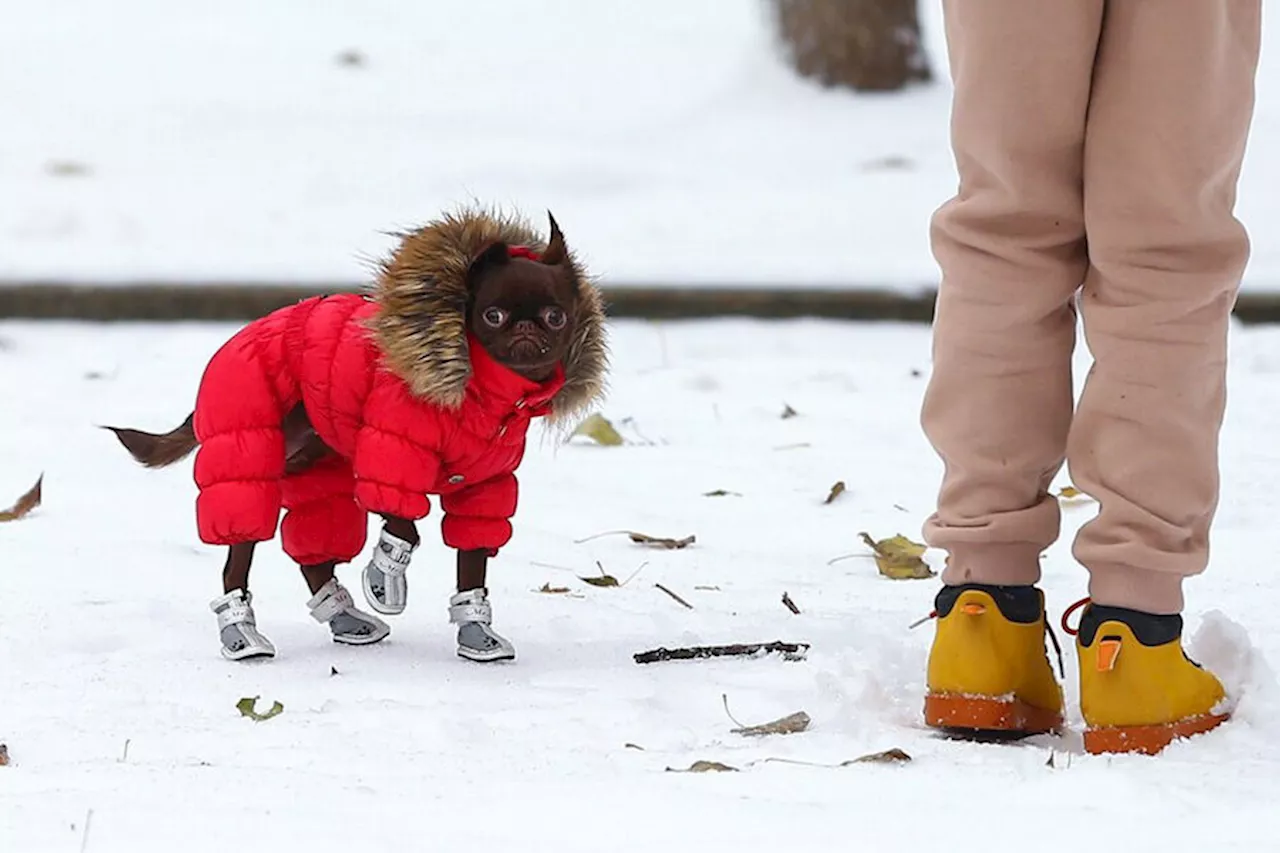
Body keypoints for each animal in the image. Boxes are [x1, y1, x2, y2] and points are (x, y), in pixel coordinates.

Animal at [111, 208, 609, 660]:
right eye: (492, 315)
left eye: (555, 316)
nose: (525, 327)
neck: (480, 393)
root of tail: (238, 340)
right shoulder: (387, 459)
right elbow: (404, 525)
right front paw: (384, 576)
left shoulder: (483, 488)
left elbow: (471, 564)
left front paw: (476, 632)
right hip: (247, 472)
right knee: (238, 562)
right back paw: (242, 634)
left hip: (316, 473)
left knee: (314, 555)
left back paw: (344, 617)